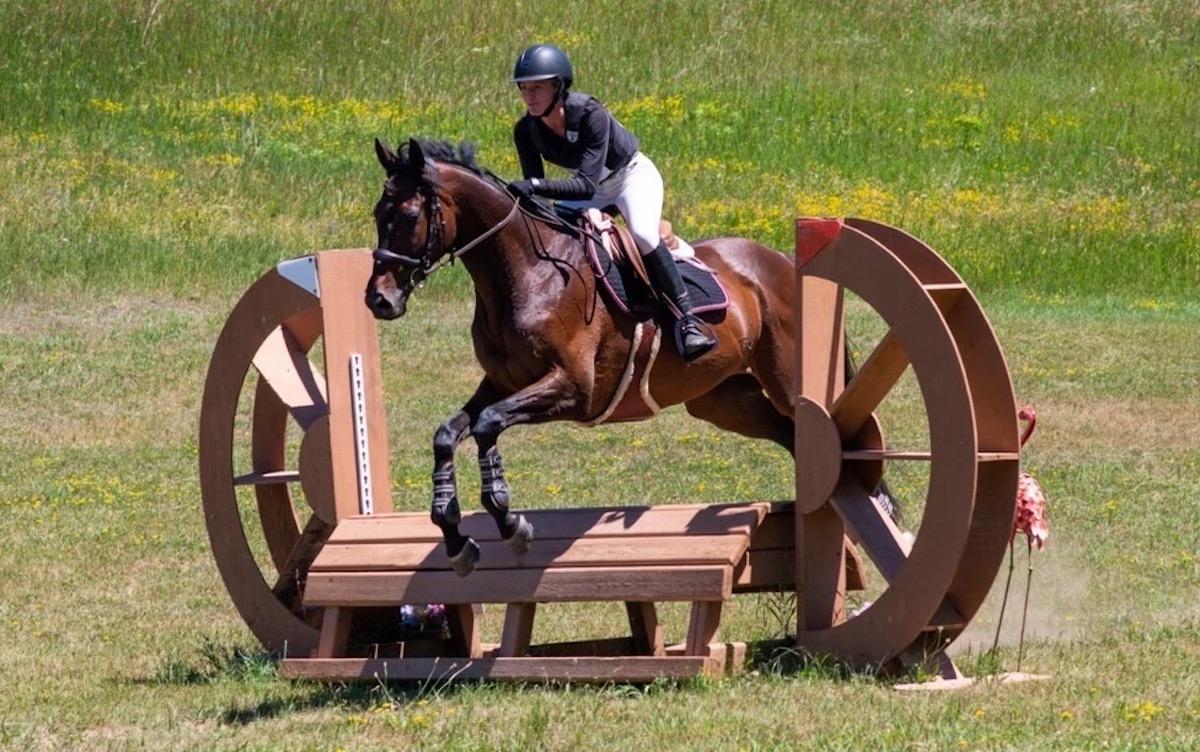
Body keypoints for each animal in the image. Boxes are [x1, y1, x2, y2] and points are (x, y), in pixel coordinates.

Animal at [360, 136, 801, 575]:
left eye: (411, 216)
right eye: (378, 212)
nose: (379, 300)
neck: (527, 275)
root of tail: (779, 259)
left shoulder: (575, 388)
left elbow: (487, 424)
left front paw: (510, 522)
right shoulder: (501, 383)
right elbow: (447, 434)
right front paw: (453, 535)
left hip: (783, 380)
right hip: (725, 400)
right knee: (788, 434)